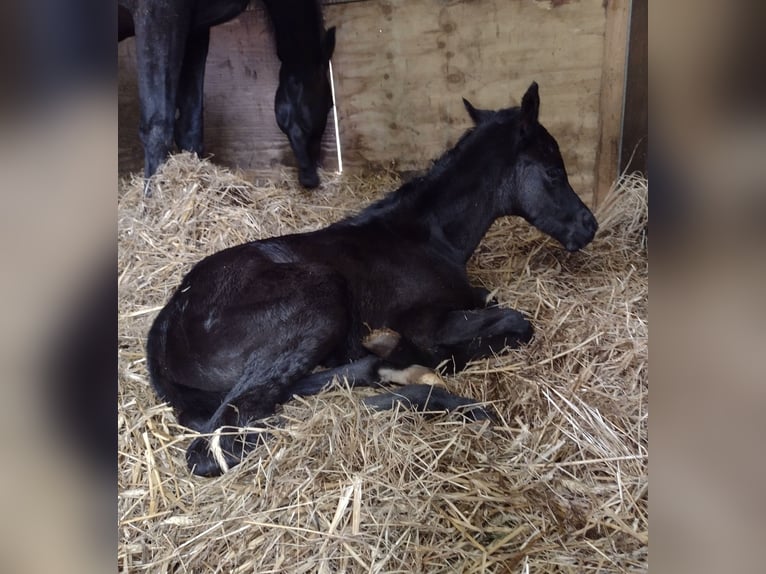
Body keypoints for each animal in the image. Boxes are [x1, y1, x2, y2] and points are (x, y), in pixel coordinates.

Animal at [118, 0, 336, 193]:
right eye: (329, 104)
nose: (310, 179)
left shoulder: (195, 29)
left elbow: (190, 129)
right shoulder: (157, 16)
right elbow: (157, 129)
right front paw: (152, 205)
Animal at [146, 82, 598, 476]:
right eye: (553, 171)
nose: (588, 225)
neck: (425, 238)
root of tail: (164, 329)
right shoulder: (426, 320)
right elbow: (516, 323)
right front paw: (441, 357)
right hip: (318, 298)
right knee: (224, 440)